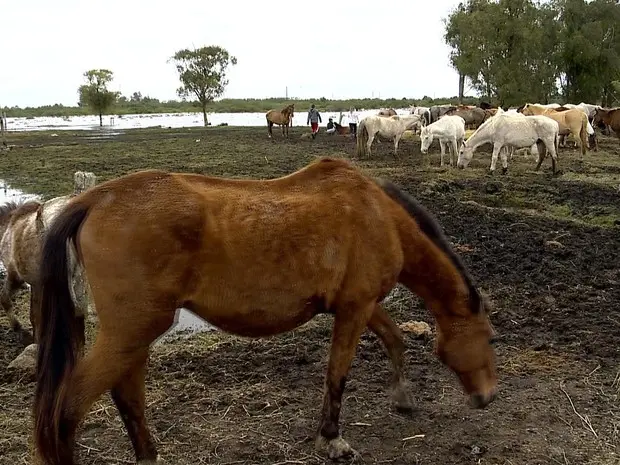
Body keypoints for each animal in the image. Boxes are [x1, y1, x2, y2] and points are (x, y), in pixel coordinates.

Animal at [32, 158, 498, 462]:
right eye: (492, 338)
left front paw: (402, 397)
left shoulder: (360, 304)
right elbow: (338, 374)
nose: (487, 397)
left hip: (134, 335)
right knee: (66, 410)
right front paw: (332, 439)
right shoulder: (354, 308)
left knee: (127, 397)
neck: (379, 215)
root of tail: (96, 198)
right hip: (133, 330)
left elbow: (395, 338)